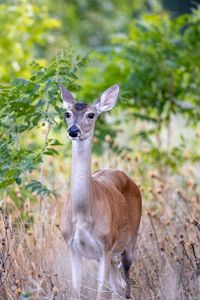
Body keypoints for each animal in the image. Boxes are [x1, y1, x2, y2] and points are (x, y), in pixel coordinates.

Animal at [58, 83, 141, 300]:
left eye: (91, 115)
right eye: (67, 113)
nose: (73, 131)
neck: (83, 214)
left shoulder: (106, 243)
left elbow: (100, 292)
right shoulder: (72, 246)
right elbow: (76, 289)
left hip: (130, 240)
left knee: (126, 283)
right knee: (117, 285)